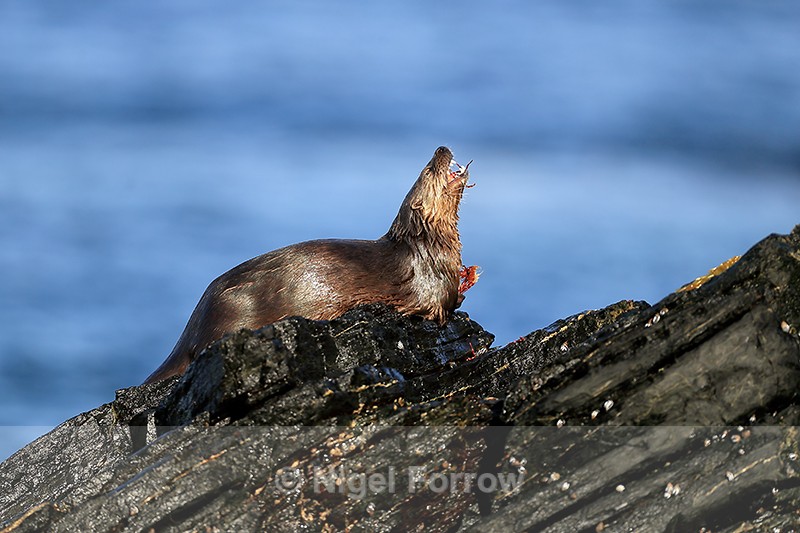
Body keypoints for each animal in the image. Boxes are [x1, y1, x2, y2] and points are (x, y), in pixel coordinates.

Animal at [144, 146, 473, 383]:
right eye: (429, 168)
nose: (442, 147)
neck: (427, 245)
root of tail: (195, 321)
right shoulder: (431, 288)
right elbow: (444, 307)